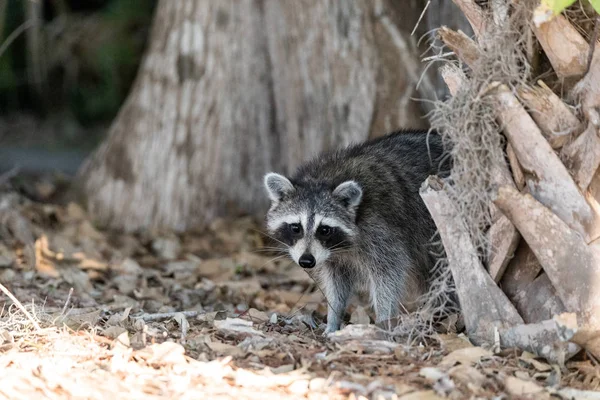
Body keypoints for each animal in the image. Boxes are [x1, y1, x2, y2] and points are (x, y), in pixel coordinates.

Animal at [262, 130, 450, 332]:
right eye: (296, 227)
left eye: (324, 230)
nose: (306, 261)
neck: (323, 179)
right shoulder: (331, 257)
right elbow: (336, 282)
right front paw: (333, 317)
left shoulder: (382, 230)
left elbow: (389, 275)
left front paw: (384, 319)